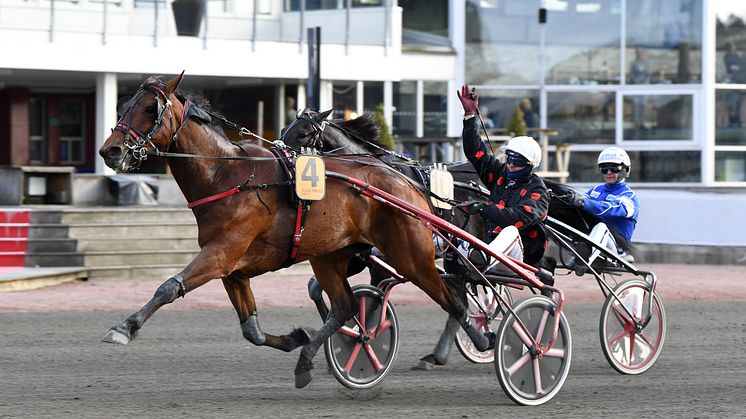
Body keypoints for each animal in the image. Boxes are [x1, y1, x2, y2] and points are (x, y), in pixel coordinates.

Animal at [99, 73, 494, 390]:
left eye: (150, 108)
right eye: (124, 105)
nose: (110, 150)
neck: (226, 175)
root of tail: (407, 184)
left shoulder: (221, 253)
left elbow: (169, 287)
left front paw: (123, 328)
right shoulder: (234, 269)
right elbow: (252, 330)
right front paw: (296, 338)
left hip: (410, 255)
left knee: (455, 298)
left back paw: (479, 338)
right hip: (331, 256)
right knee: (345, 305)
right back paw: (312, 357)